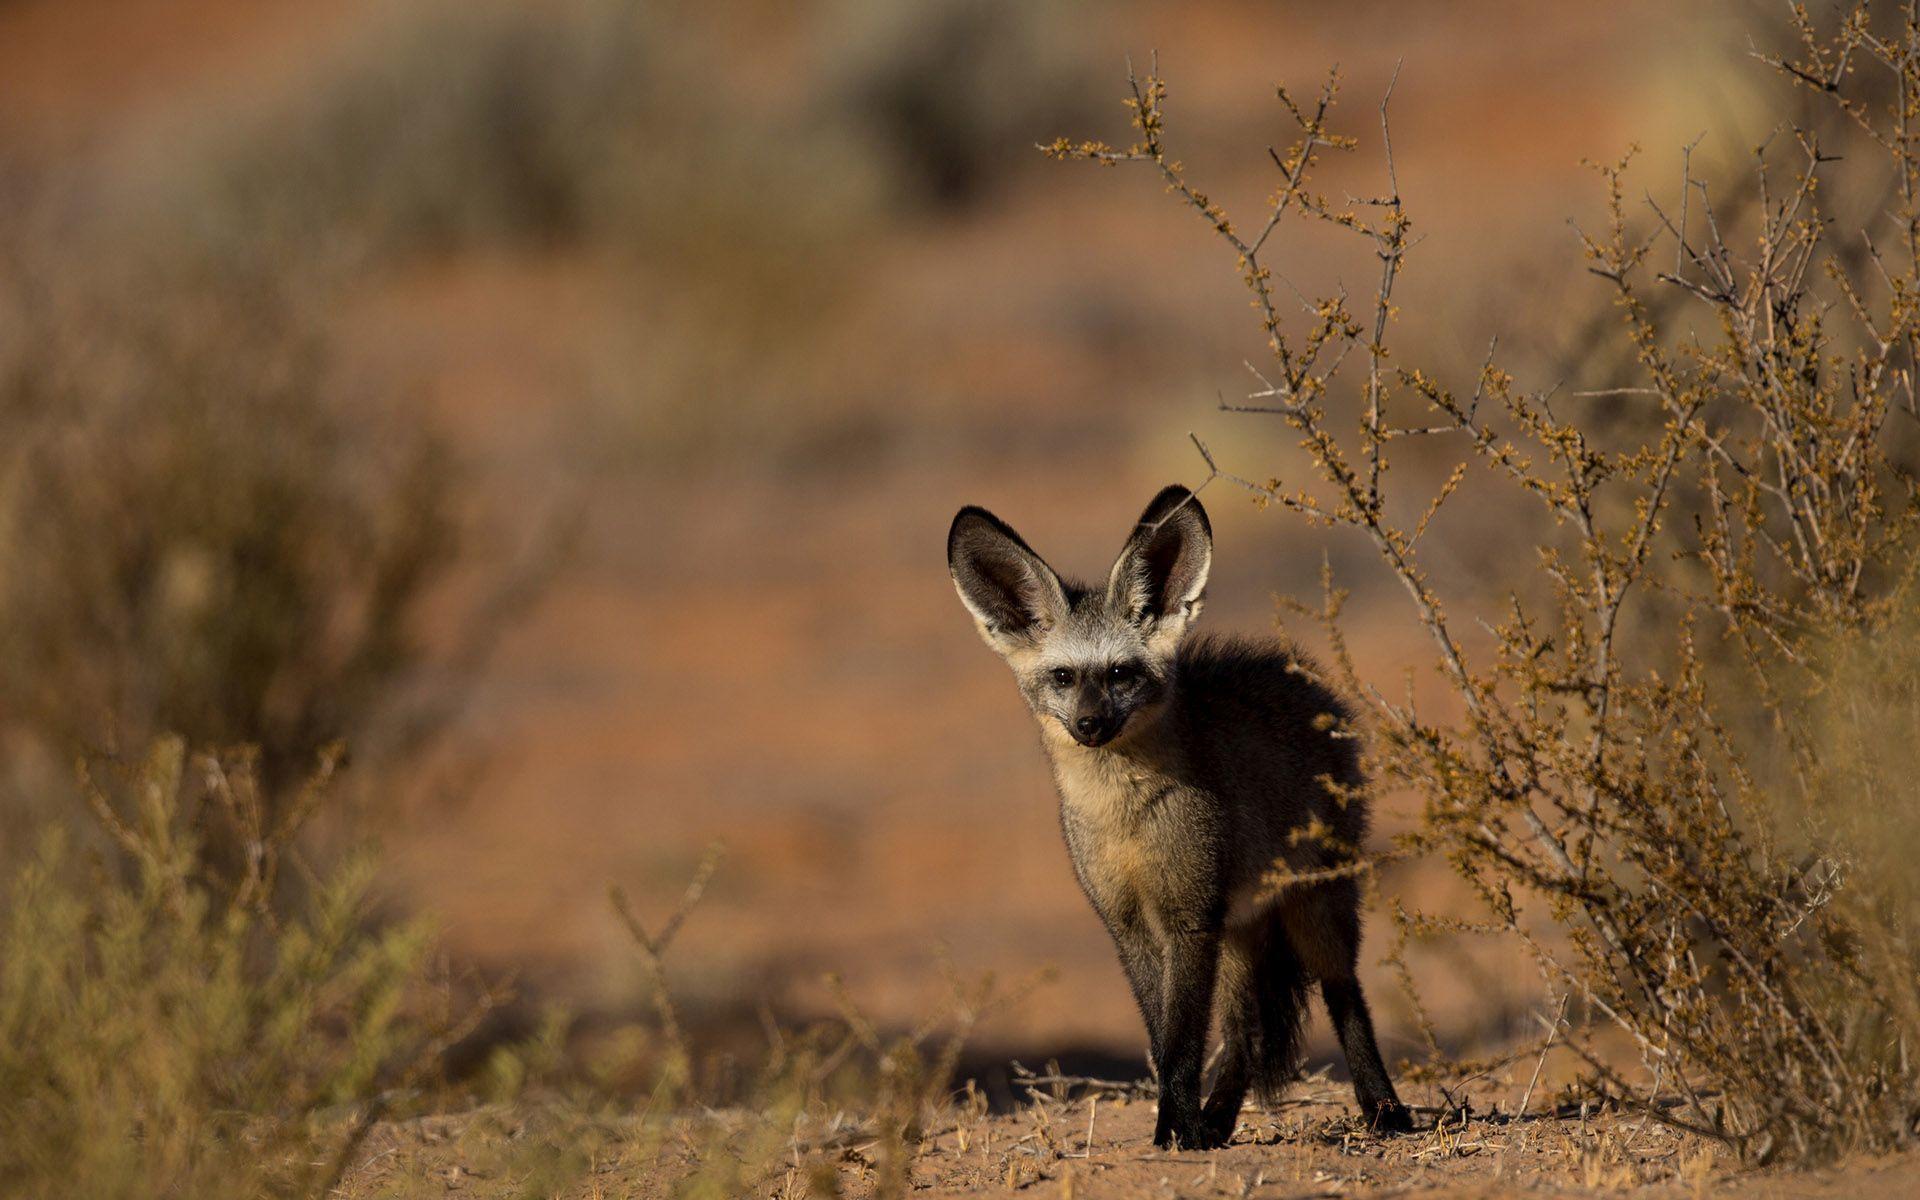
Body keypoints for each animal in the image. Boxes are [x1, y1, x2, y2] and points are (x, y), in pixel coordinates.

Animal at [948, 481, 1413, 1144]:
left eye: (1120, 673)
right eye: (1063, 677)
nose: (1090, 724)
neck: (1126, 821)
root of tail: (1301, 678)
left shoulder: (1189, 919)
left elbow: (1184, 1041)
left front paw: (1176, 1131)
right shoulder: (1130, 926)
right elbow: (1163, 1037)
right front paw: (1185, 1129)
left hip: (1315, 907)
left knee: (1344, 995)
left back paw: (1383, 1108)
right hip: (1242, 928)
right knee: (1245, 1031)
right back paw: (1218, 1120)